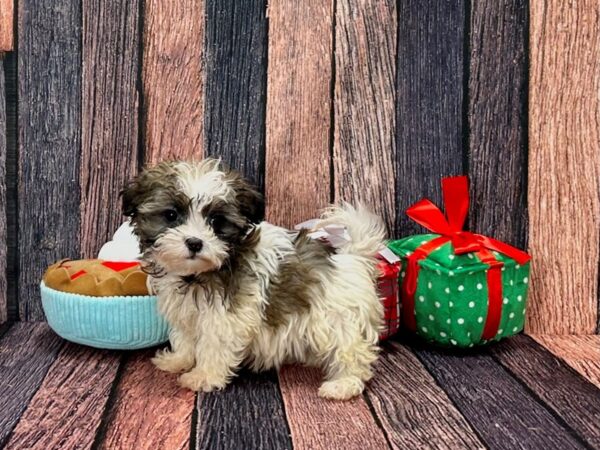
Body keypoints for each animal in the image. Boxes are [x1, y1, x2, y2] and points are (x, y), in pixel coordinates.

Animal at [123, 159, 384, 400]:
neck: (197, 275)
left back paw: (343, 384)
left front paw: (203, 376)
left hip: (339, 318)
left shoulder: (225, 318)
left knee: (351, 351)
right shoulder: (187, 311)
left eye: (216, 221)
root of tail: (352, 257)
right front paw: (178, 360)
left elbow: (214, 345)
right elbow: (185, 337)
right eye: (171, 215)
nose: (195, 243)